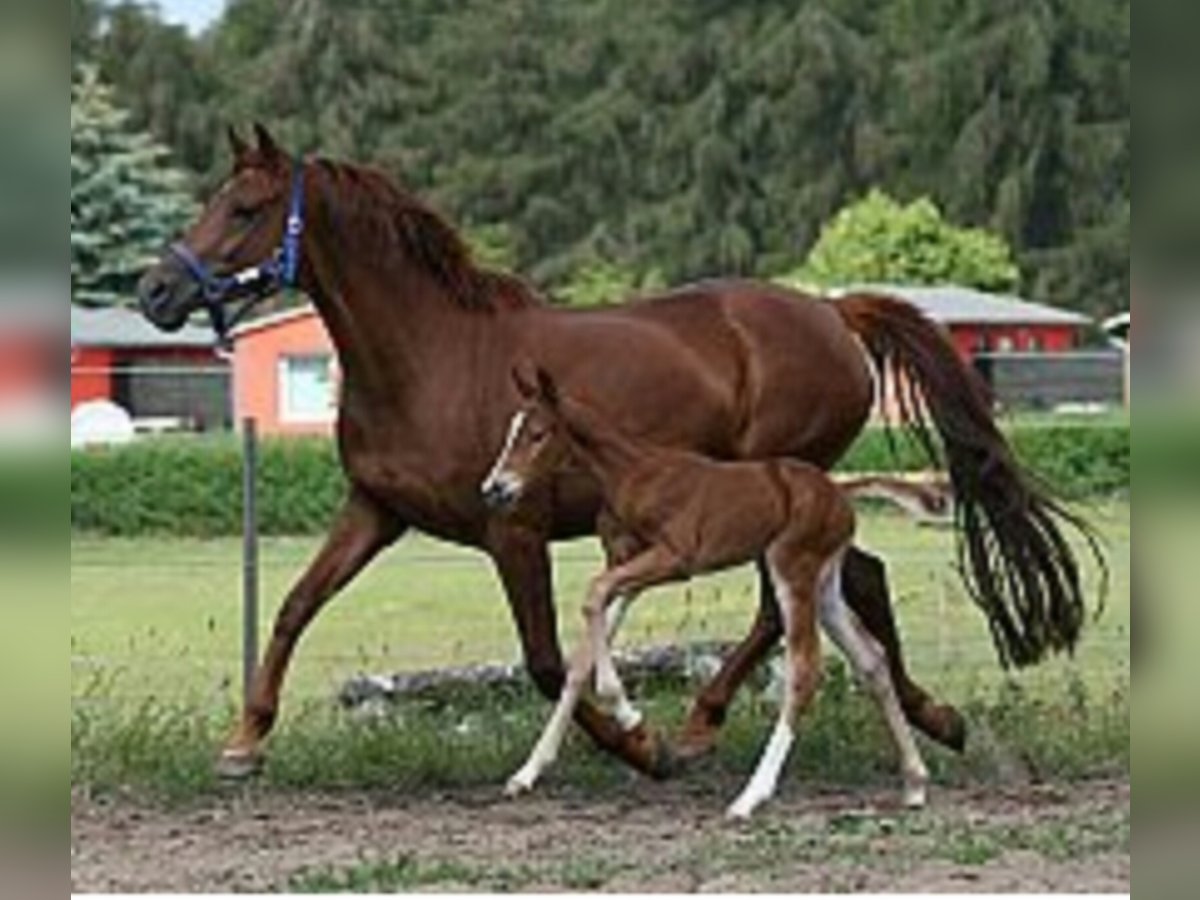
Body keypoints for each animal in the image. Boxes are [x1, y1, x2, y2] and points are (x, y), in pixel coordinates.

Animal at [482, 367, 931, 825]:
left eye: (537, 434)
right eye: (512, 432)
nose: (493, 488)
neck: (634, 472)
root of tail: (840, 493)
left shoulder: (675, 559)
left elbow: (594, 594)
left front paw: (628, 713)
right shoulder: (632, 566)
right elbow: (583, 652)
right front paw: (527, 774)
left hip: (792, 569)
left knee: (805, 671)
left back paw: (750, 797)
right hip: (825, 587)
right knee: (872, 661)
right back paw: (914, 783)